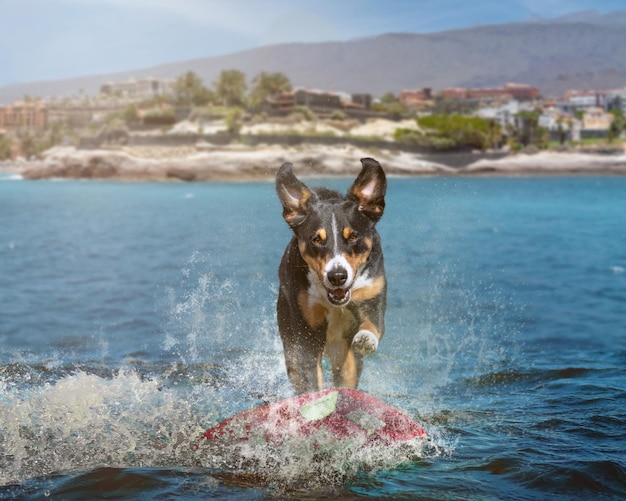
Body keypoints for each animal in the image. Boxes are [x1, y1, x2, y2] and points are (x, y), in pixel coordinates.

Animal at [274, 158, 386, 392]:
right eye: (316, 239)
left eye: (353, 236)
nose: (337, 276)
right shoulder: (307, 328)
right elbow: (310, 377)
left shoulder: (372, 293)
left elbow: (372, 323)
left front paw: (366, 339)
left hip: (346, 360)